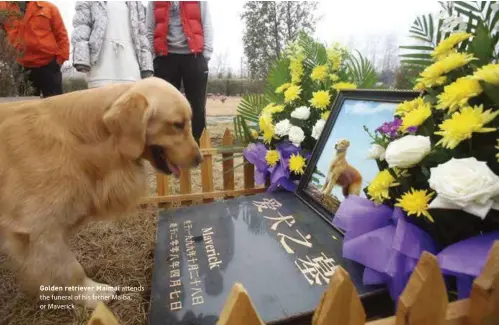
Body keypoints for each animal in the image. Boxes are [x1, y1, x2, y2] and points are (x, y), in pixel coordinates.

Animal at [0, 77, 203, 308]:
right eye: (177, 125)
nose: (199, 159)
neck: (80, 141)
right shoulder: (39, 229)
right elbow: (70, 267)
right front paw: (90, 293)